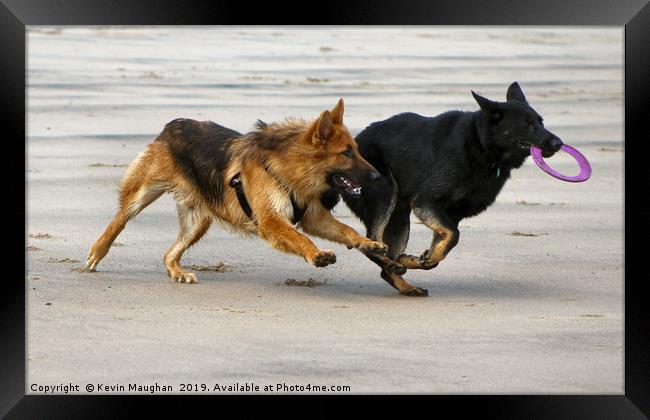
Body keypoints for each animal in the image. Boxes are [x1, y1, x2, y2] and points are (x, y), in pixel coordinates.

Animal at [344, 82, 560, 296]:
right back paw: (393, 264)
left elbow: (445, 243)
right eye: (527, 124)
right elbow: (454, 235)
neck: (481, 145)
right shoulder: (427, 202)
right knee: (370, 243)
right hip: (387, 194)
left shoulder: (450, 214)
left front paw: (424, 259)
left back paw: (405, 278)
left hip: (399, 218)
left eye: (540, 121)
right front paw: (426, 258)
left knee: (386, 261)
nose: (558, 143)